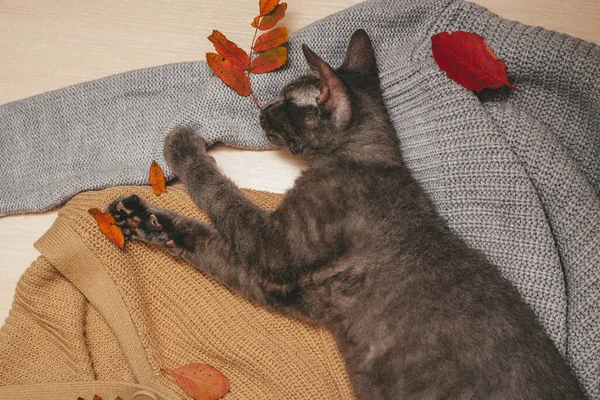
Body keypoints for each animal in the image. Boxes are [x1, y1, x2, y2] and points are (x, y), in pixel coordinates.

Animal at [109, 29, 584, 398]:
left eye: (284, 102)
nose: (262, 110)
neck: (370, 159)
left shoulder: (274, 249)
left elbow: (219, 194)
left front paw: (181, 145)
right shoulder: (283, 286)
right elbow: (204, 241)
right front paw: (143, 219)